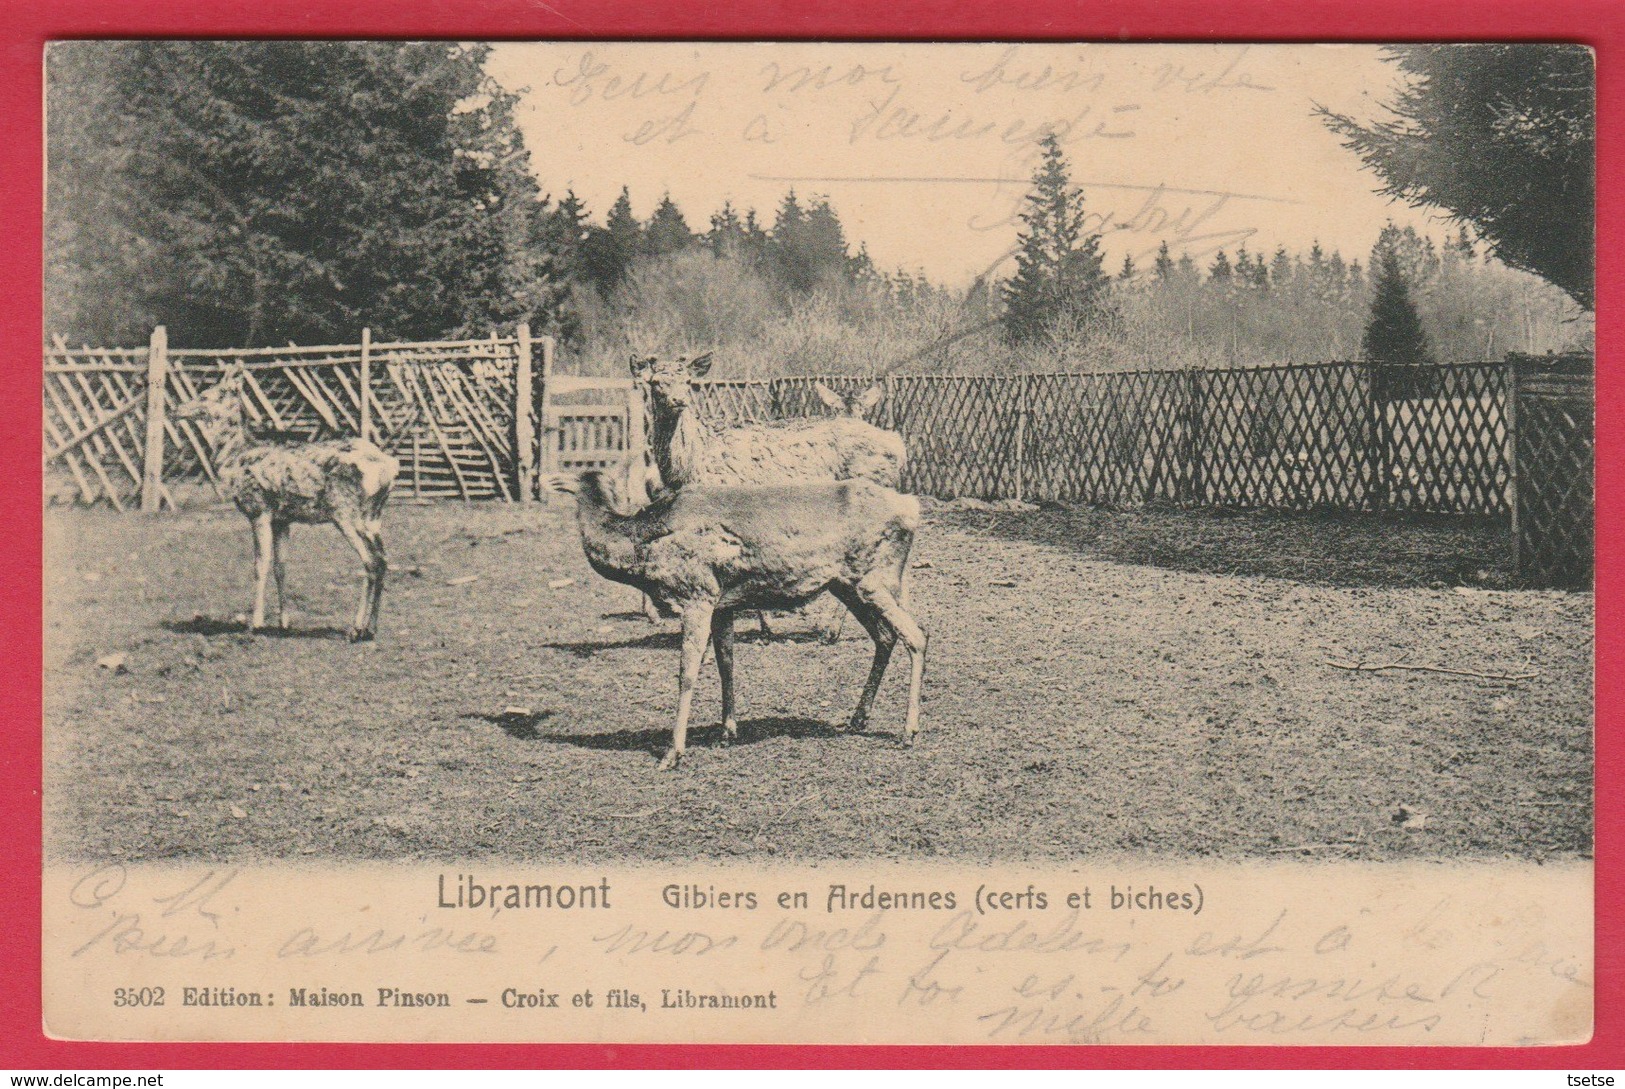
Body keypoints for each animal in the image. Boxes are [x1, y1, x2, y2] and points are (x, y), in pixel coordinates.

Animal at [172, 362, 403, 643]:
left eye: (206, 395)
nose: (176, 409)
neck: (235, 458)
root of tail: (389, 467)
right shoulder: (282, 519)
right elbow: (281, 566)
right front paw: (284, 623)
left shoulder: (258, 509)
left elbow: (260, 565)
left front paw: (255, 624)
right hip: (373, 516)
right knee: (383, 560)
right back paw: (371, 628)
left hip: (345, 512)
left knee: (370, 561)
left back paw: (356, 628)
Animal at [546, 468, 929, 767]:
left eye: (579, 474)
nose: (548, 479)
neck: (643, 549)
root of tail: (912, 508)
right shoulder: (724, 604)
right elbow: (726, 663)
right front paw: (727, 730)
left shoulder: (698, 593)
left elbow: (687, 672)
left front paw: (673, 752)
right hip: (846, 584)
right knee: (885, 636)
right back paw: (857, 717)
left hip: (873, 577)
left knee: (916, 635)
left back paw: (908, 731)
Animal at [630, 349, 910, 640]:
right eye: (655, 383)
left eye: (687, 381)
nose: (679, 400)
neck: (690, 466)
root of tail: (899, 446)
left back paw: (833, 628)